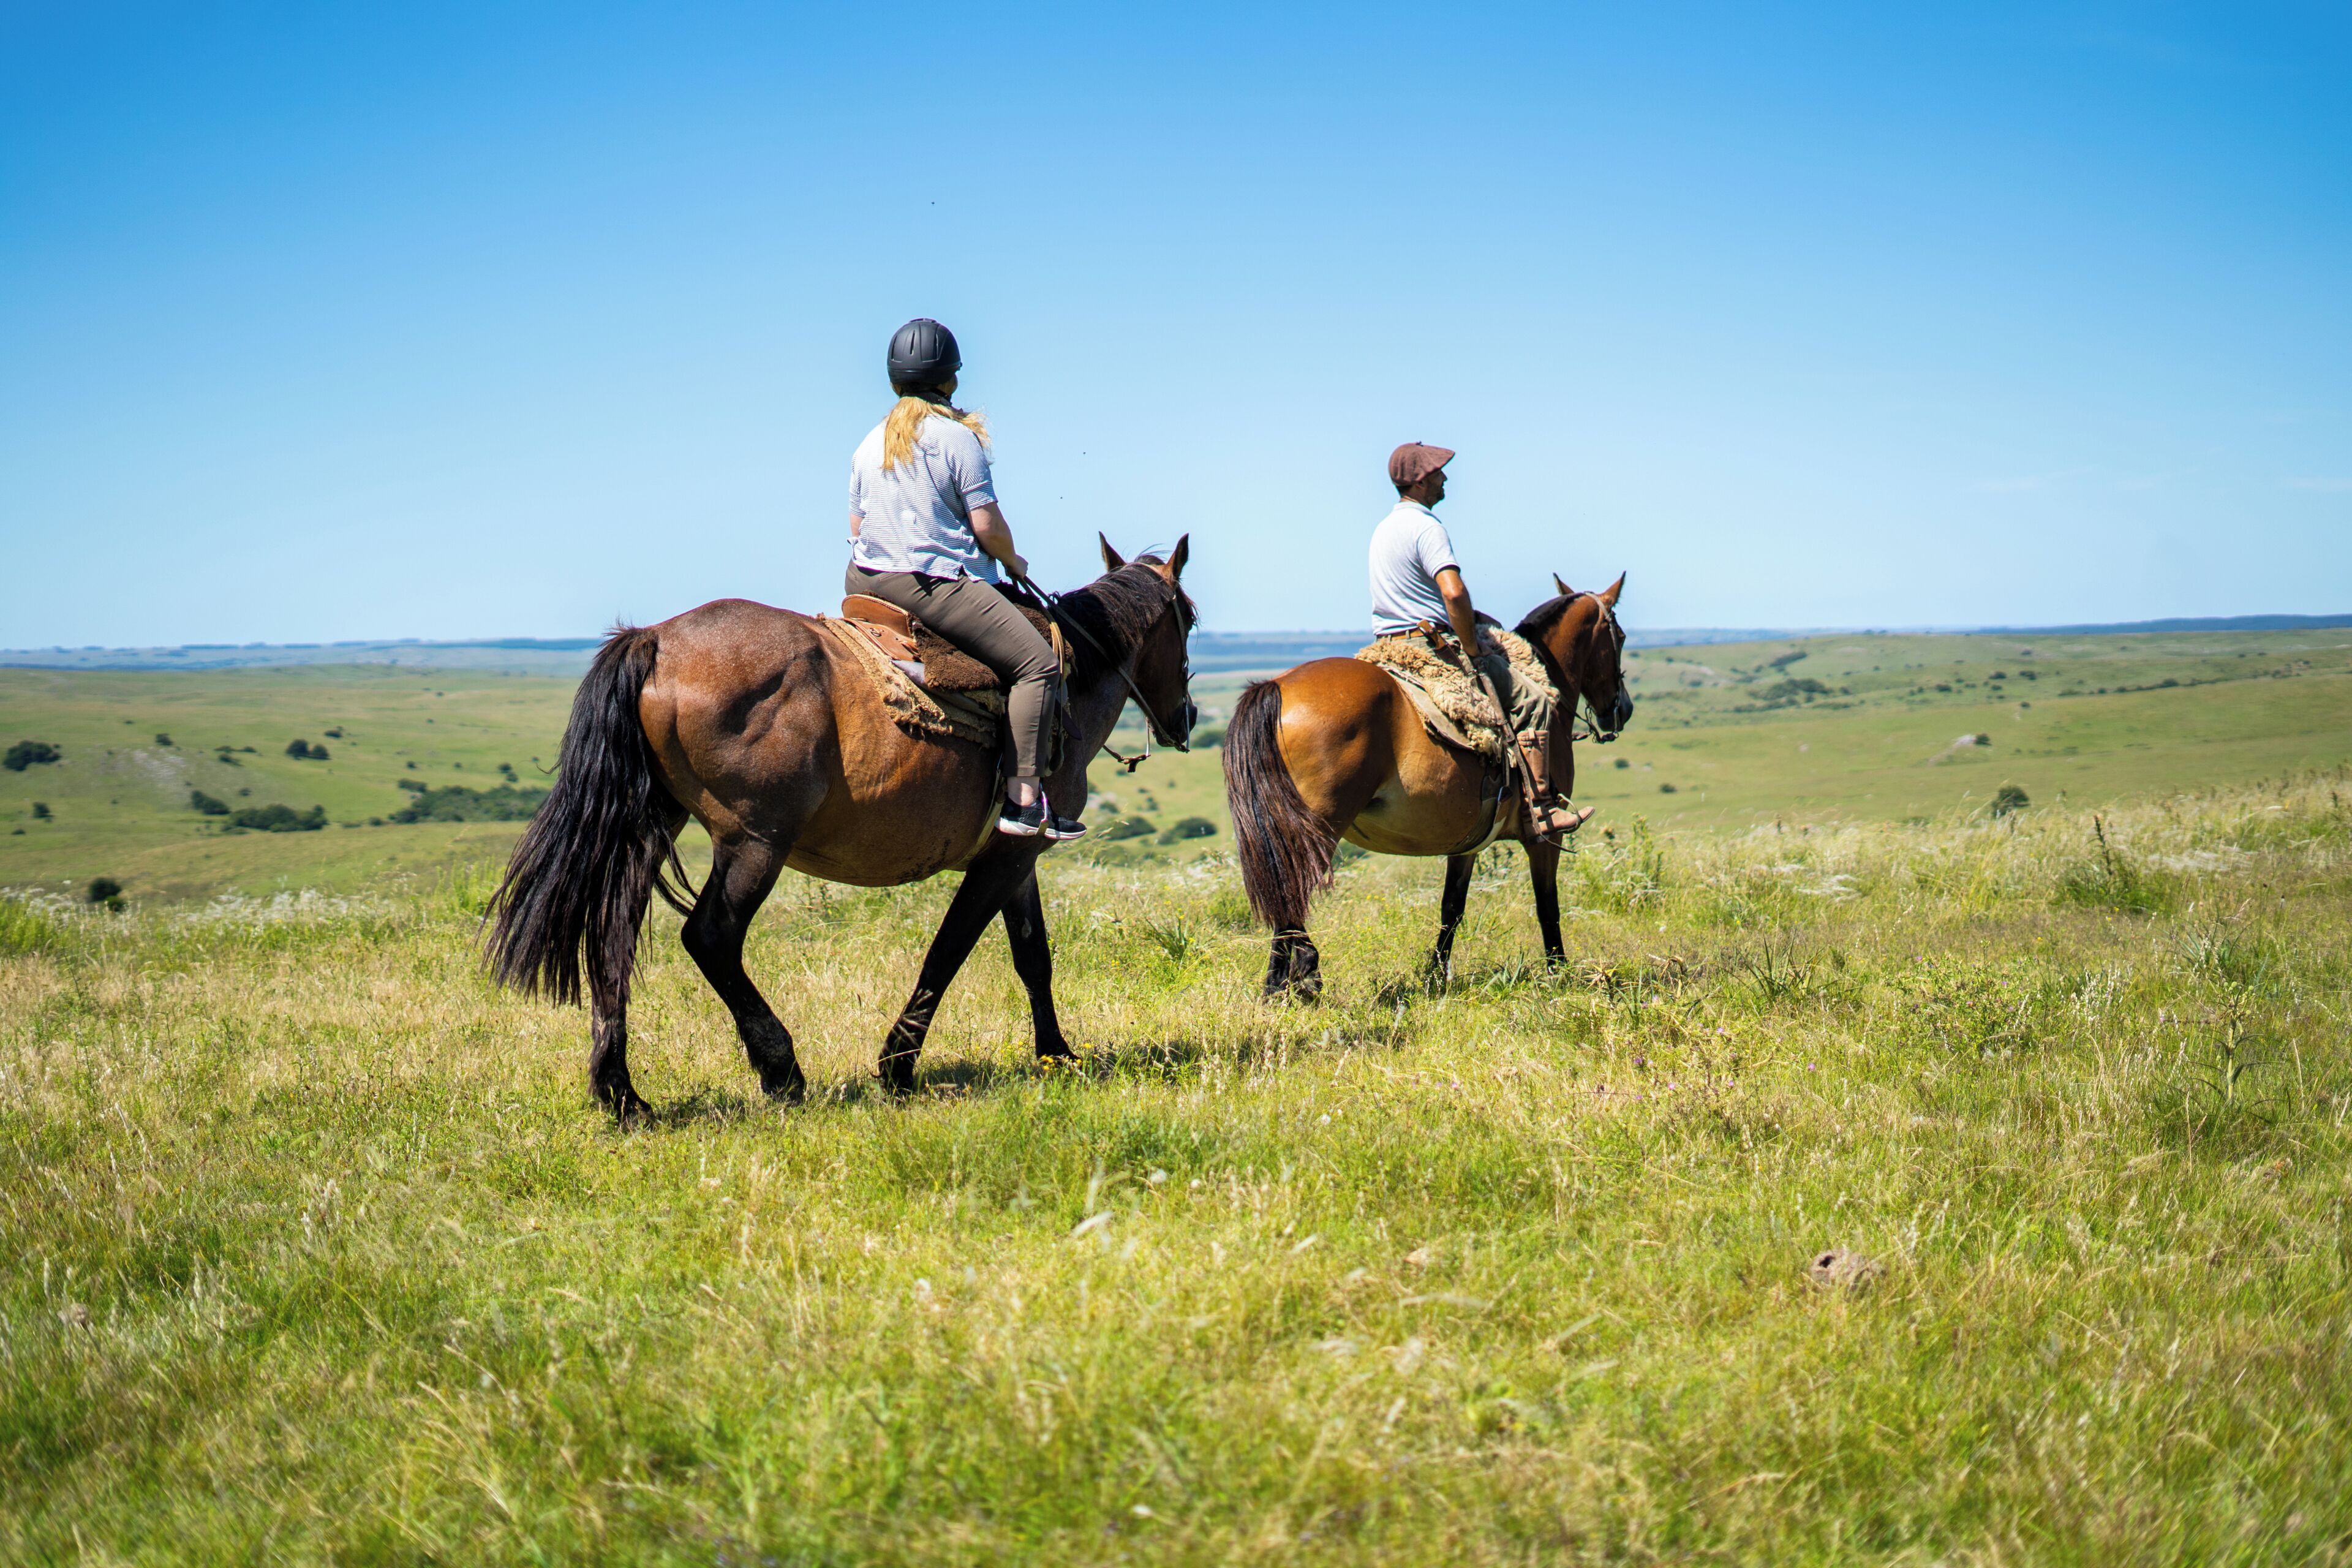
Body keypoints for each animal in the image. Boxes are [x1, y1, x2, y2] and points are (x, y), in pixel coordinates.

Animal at [484, 536, 1197, 1117]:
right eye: (1187, 619)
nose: (1188, 715)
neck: (1066, 682)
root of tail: (655, 640)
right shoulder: (1005, 859)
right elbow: (950, 951)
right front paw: (897, 1069)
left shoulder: (1016, 855)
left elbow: (1032, 956)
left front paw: (1057, 1055)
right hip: (754, 845)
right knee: (710, 938)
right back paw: (781, 1070)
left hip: (651, 828)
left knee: (612, 938)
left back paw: (623, 1095)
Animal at [1222, 574, 1632, 998]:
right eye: (1619, 636)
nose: (1623, 709)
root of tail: (1277, 686)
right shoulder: (1545, 838)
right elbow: (1547, 905)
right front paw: (1559, 974)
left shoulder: (1469, 842)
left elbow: (1452, 908)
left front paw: (1435, 975)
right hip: (1317, 829)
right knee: (1291, 897)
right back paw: (1304, 973)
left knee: (1283, 897)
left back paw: (1277, 985)